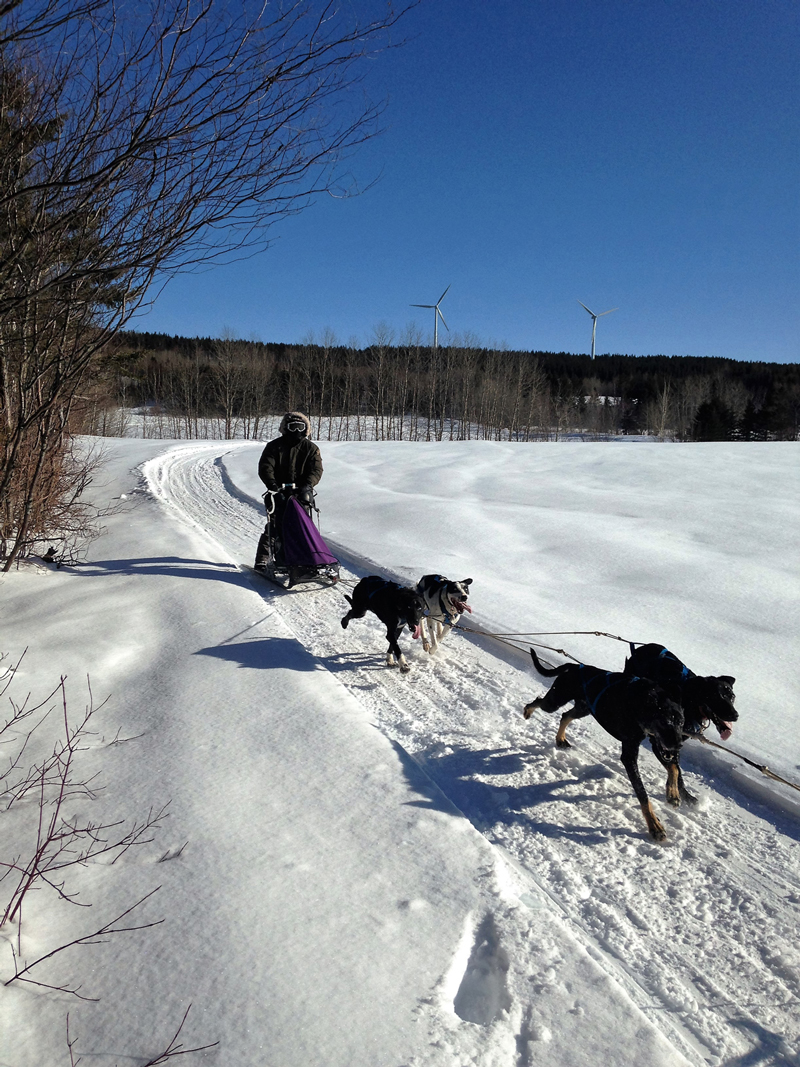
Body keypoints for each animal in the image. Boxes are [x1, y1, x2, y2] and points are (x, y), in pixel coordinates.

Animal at [526, 644, 691, 836]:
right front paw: (654, 825)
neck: (640, 703)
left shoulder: (657, 743)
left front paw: (673, 794)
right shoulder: (630, 755)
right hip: (555, 700)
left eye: (681, 722)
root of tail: (576, 666)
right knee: (539, 702)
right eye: (665, 722)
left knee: (565, 715)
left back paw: (560, 739)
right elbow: (643, 794)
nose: (679, 745)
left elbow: (674, 768)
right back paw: (527, 711)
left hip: (584, 708)